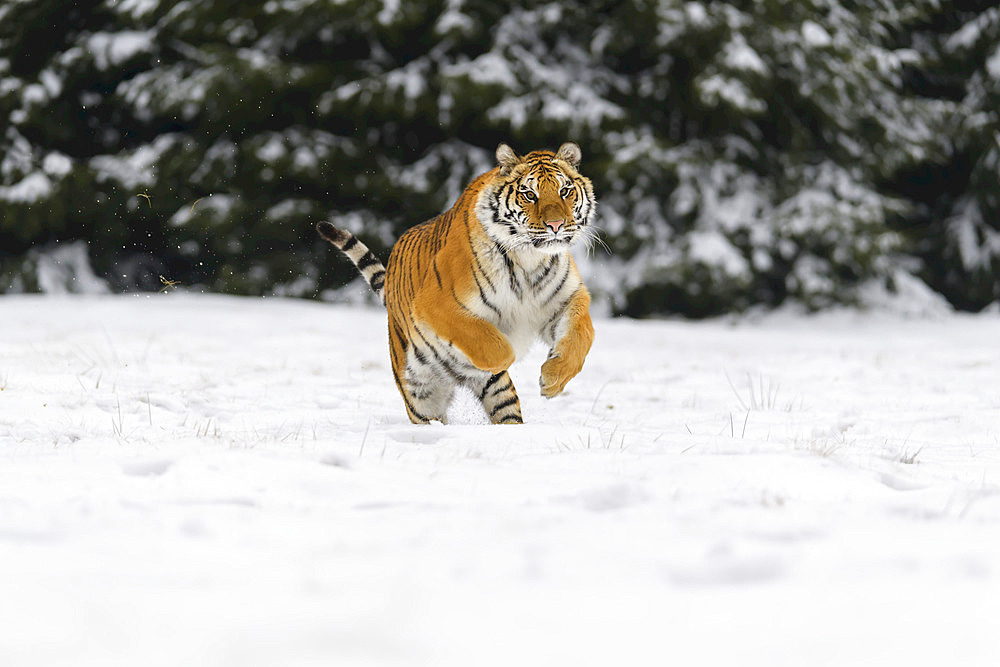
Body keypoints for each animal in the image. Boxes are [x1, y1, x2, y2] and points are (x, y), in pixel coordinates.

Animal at [318, 142, 592, 426]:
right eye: (529, 194)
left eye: (565, 191)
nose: (556, 225)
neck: (529, 259)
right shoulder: (436, 304)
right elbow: (491, 341)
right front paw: (511, 353)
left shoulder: (568, 298)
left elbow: (581, 336)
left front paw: (552, 380)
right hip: (419, 392)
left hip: (498, 395)